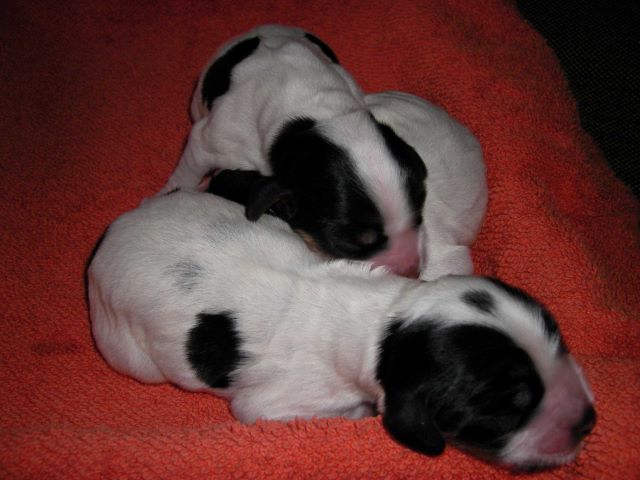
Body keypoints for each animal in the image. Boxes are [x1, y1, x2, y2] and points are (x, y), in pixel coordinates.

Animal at [88, 190, 595, 470]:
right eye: (512, 406)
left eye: (560, 341)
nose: (588, 421)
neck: (387, 323)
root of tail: (109, 234)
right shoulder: (270, 407)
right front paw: (359, 414)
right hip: (127, 349)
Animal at [159, 25, 429, 276]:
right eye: (351, 243)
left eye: (419, 217)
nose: (412, 272)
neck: (309, 118)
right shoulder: (208, 142)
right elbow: (187, 172)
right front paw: (167, 194)